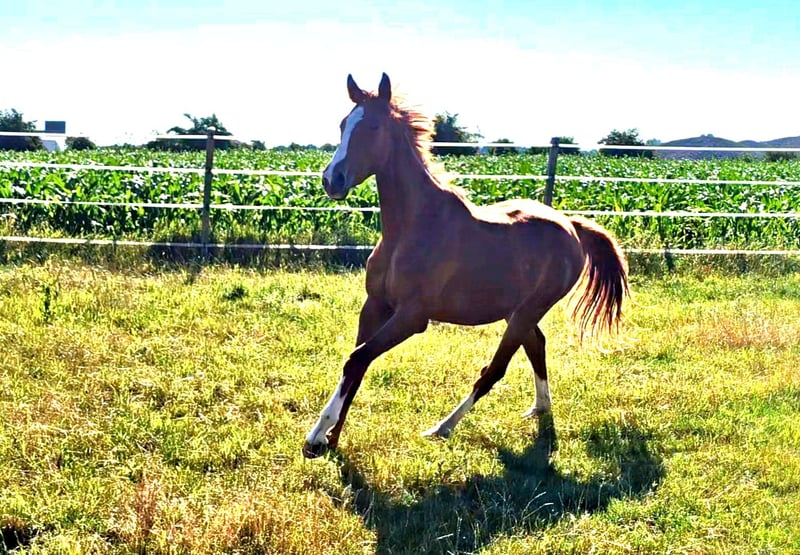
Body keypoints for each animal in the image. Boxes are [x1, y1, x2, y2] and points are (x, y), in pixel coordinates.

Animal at [302, 73, 629, 458]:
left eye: (374, 126)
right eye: (343, 125)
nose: (331, 180)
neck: (412, 228)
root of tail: (572, 227)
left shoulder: (412, 317)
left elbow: (356, 359)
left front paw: (316, 437)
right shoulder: (375, 306)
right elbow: (356, 365)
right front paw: (332, 439)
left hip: (527, 311)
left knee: (496, 368)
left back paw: (441, 428)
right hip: (516, 311)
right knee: (536, 345)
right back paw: (539, 408)